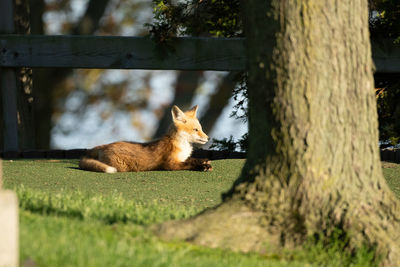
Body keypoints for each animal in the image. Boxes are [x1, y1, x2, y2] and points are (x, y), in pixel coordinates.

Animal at [77, 105, 212, 173]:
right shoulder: (169, 164)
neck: (182, 146)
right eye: (196, 130)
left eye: (200, 128)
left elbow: (194, 159)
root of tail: (104, 145)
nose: (208, 138)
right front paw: (202, 166)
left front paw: (204, 162)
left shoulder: (182, 158)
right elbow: (189, 163)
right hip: (120, 166)